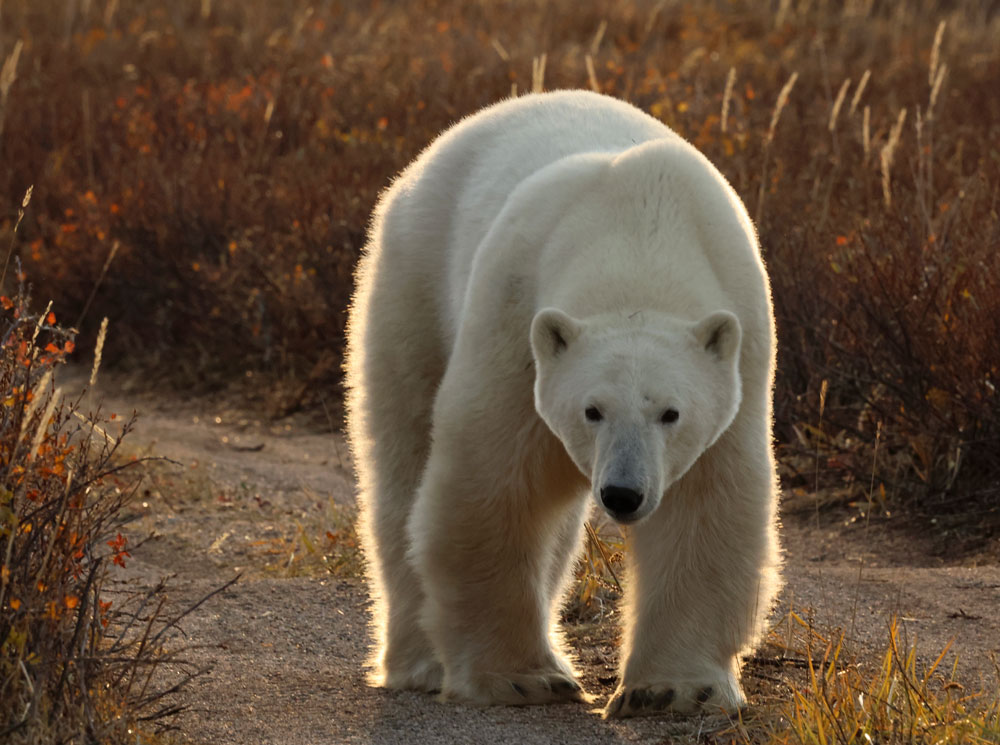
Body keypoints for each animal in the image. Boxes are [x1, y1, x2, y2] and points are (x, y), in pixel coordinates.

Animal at [344, 90, 780, 716]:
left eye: (670, 413)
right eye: (591, 410)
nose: (622, 494)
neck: (640, 229)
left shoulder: (739, 356)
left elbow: (704, 507)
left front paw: (672, 690)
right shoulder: (514, 321)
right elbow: (494, 487)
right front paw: (523, 678)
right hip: (412, 279)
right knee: (401, 459)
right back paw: (420, 663)